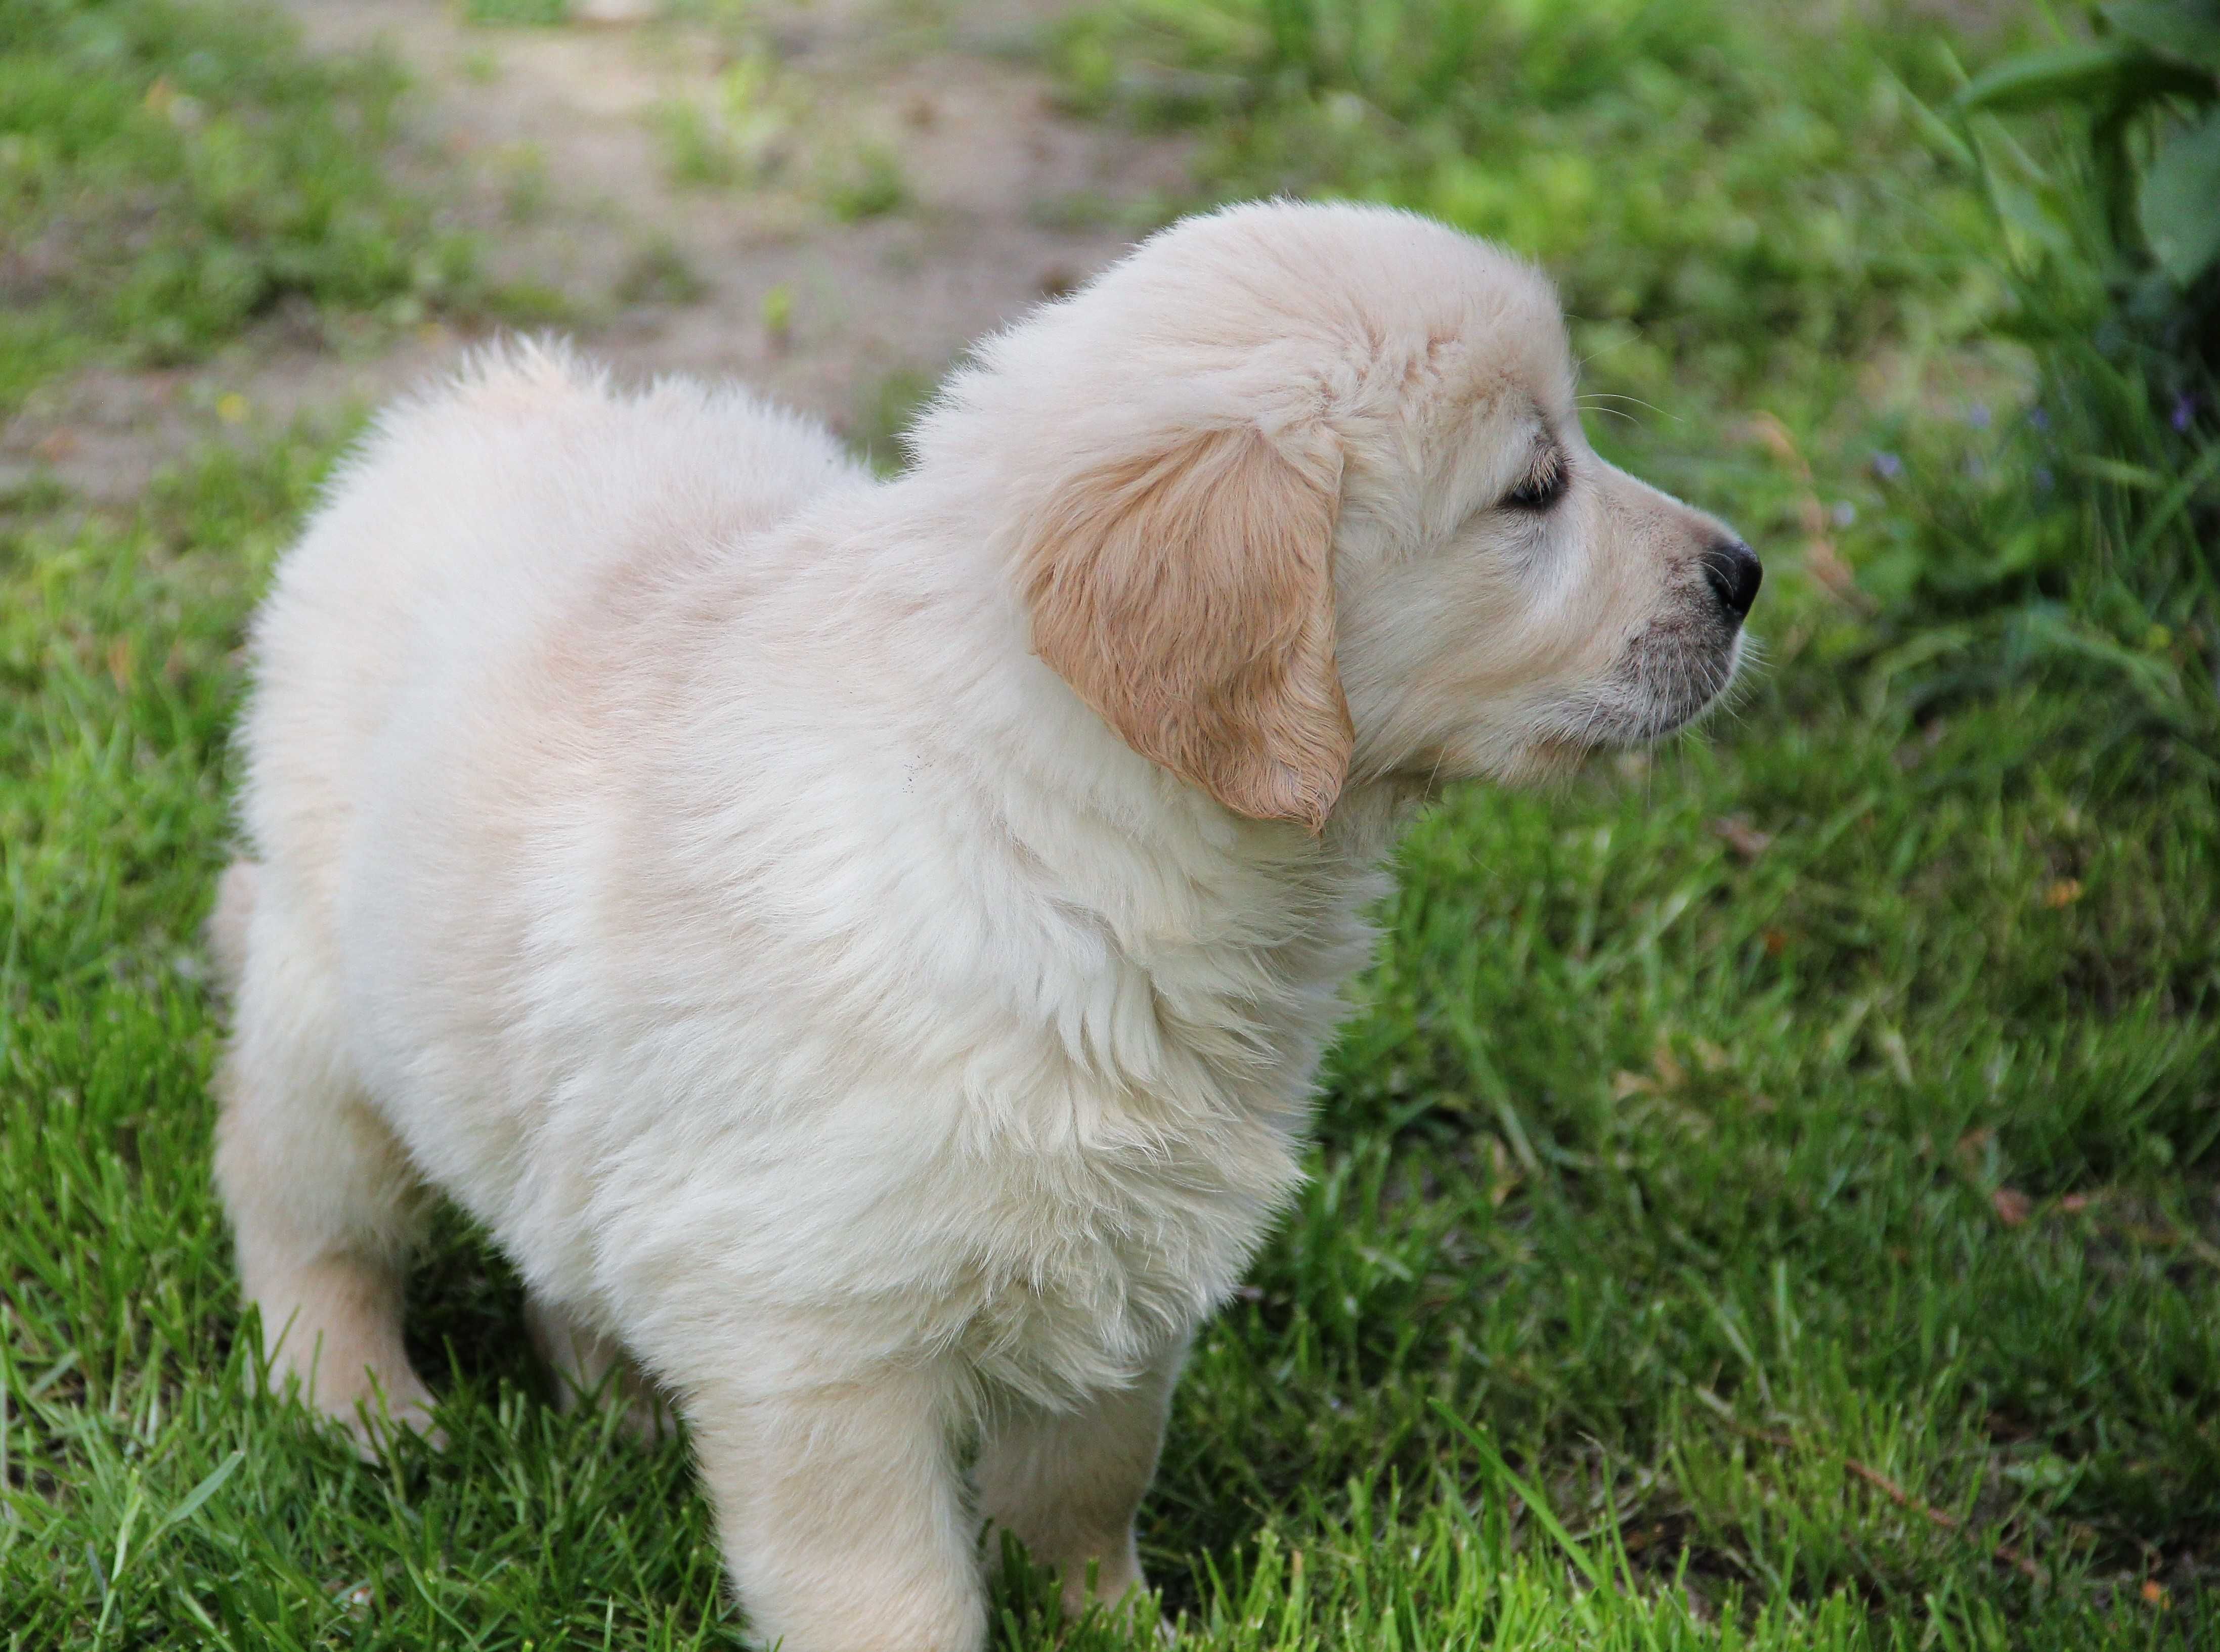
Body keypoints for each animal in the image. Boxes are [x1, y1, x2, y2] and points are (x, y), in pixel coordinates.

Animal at [216, 203, 1758, 1652]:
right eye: (1531, 489)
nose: (1744, 573)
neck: (1061, 837)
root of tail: (493, 398)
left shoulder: (1131, 1265)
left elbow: (1085, 1483)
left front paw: (1112, 1621)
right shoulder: (822, 1339)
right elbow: (893, 1594)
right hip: (332, 1021)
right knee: (299, 1209)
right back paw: (359, 1405)